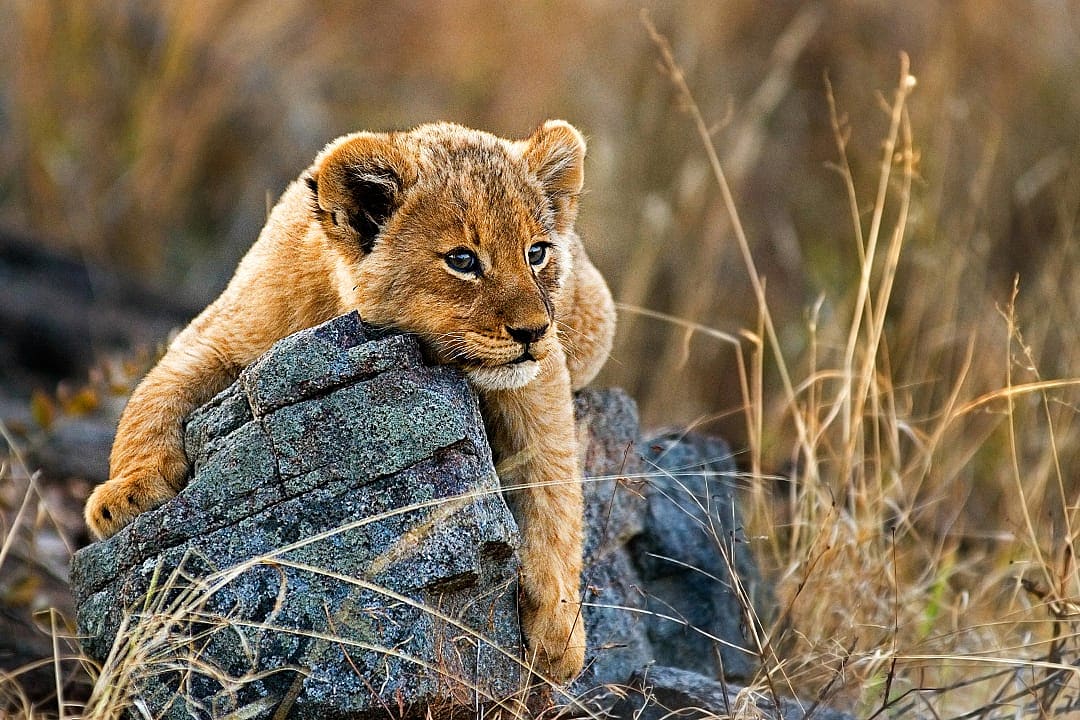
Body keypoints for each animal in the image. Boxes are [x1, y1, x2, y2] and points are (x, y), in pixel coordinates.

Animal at [84, 120, 616, 682]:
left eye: (537, 252)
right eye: (462, 260)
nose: (533, 331)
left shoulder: (540, 378)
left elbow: (554, 488)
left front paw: (559, 633)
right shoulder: (219, 333)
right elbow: (152, 396)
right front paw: (125, 495)